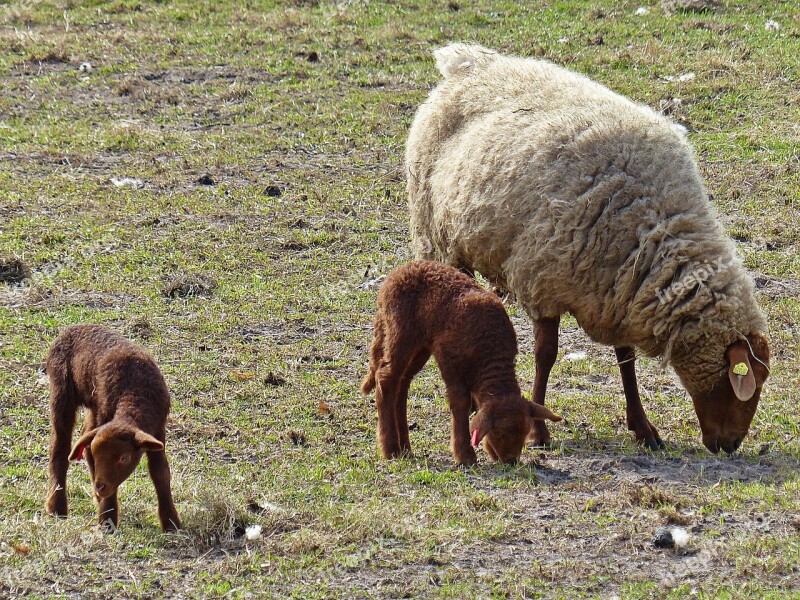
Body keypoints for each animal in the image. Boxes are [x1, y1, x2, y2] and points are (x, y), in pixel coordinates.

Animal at [45, 326, 181, 532]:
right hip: (62, 390)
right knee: (60, 446)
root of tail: (72, 328)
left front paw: (171, 523)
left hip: (94, 405)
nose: (100, 486)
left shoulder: (158, 429)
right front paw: (107, 521)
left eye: (125, 457)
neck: (135, 394)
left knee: (84, 437)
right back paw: (57, 507)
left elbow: (160, 472)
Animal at [362, 258, 564, 464]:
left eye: (525, 432)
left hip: (420, 346)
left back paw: (405, 448)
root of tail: (397, 273)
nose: (511, 461)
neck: (490, 349)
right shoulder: (449, 359)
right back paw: (391, 449)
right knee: (386, 378)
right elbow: (460, 402)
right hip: (400, 330)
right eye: (500, 433)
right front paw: (465, 454)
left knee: (402, 384)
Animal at [410, 43, 772, 454]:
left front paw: (643, 428)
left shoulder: (618, 289)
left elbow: (626, 360)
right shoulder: (544, 281)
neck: (653, 224)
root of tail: (468, 61)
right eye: (741, 381)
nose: (730, 444)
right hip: (437, 237)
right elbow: (546, 356)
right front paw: (539, 432)